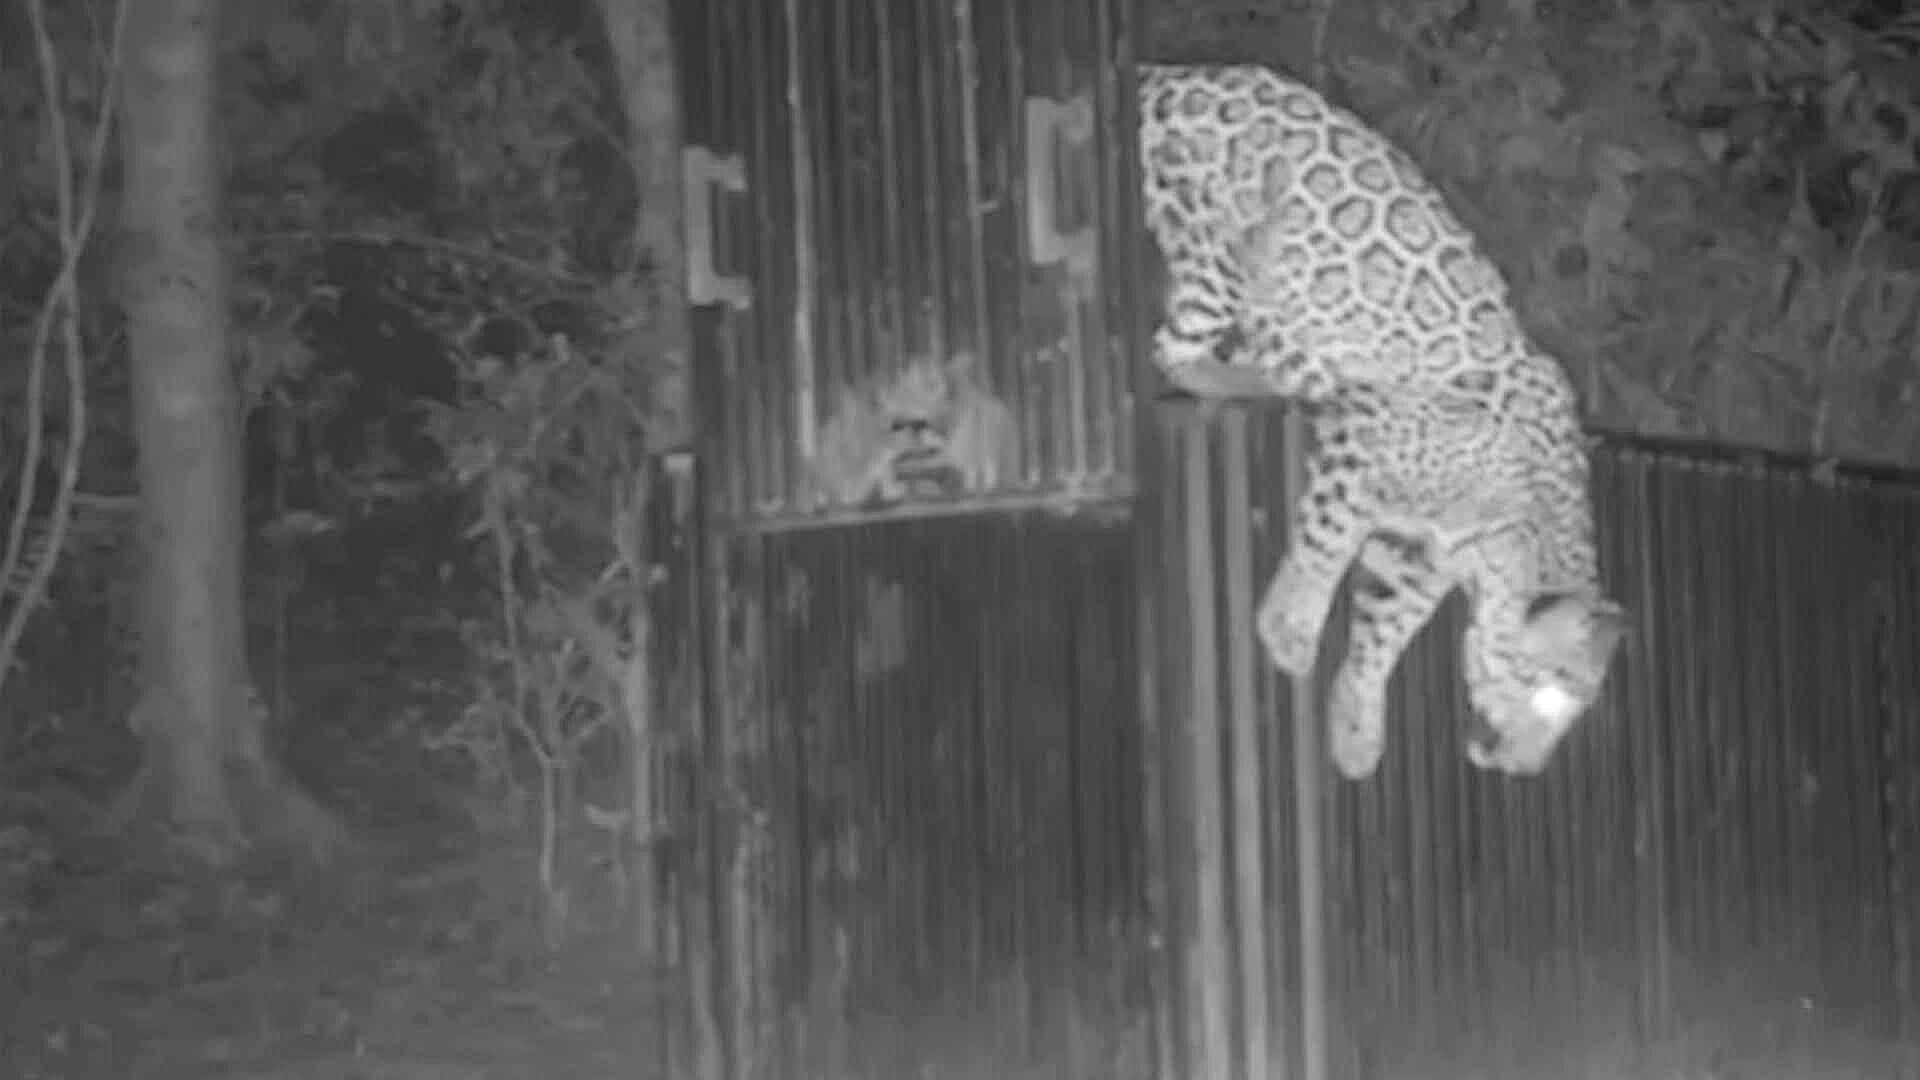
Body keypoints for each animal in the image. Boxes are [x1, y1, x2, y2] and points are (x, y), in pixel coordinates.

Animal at [1137, 61, 1627, 779]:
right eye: (1550, 684)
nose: (1528, 768)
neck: (1515, 533)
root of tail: (1166, 77)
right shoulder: (1368, 444)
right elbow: (1327, 540)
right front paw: (1291, 628)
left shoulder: (1430, 552)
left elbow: (1389, 624)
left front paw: (1357, 726)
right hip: (1227, 246)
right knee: (1176, 351)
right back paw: (1274, 375)